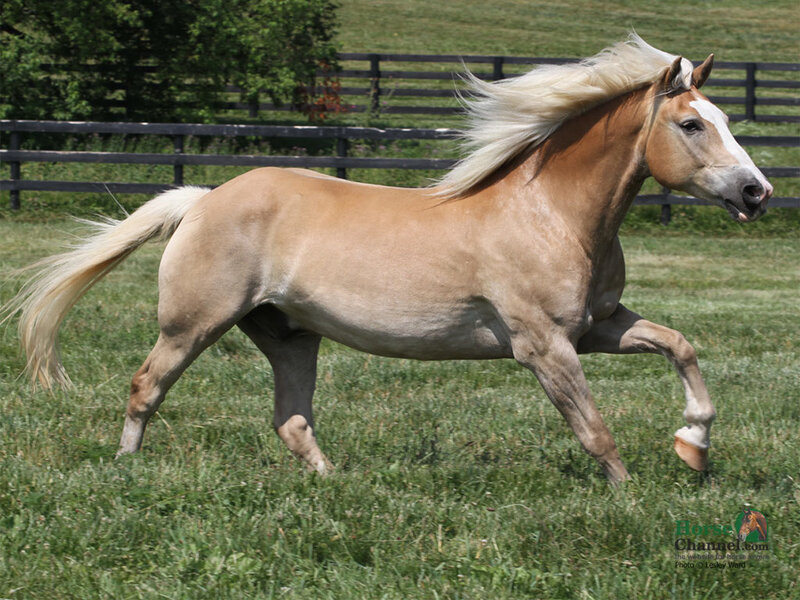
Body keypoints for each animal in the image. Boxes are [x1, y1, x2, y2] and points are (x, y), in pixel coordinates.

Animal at [3, 35, 772, 484]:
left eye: (726, 121)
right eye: (692, 123)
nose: (756, 192)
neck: (550, 214)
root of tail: (202, 199)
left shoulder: (598, 327)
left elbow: (681, 345)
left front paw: (693, 445)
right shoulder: (543, 345)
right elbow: (594, 429)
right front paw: (630, 497)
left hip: (288, 335)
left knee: (291, 420)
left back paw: (336, 485)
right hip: (194, 324)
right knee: (146, 387)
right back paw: (124, 471)